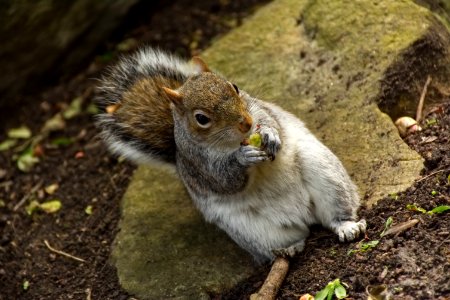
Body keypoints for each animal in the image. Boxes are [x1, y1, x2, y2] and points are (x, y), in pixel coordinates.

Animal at [95, 47, 366, 262]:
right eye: (201, 119)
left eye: (234, 87)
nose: (246, 123)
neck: (235, 141)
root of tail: (303, 215)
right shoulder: (199, 165)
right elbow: (225, 180)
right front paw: (242, 158)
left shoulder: (258, 107)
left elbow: (271, 120)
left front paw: (269, 134)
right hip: (251, 229)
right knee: (288, 239)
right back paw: (290, 247)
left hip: (323, 171)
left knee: (335, 211)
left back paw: (346, 226)